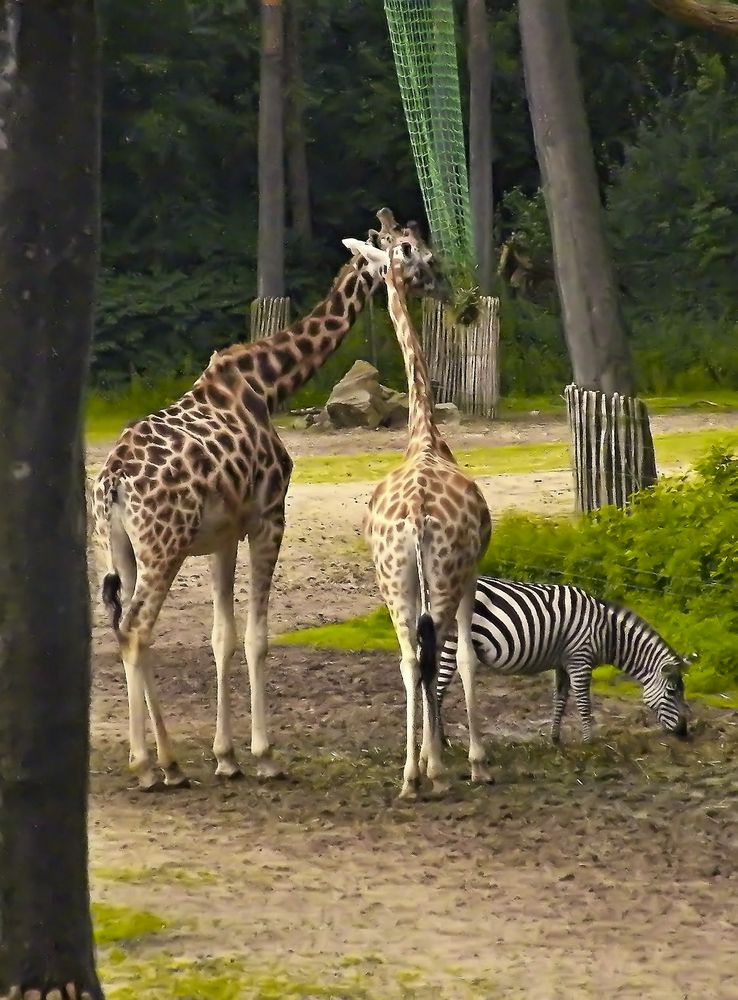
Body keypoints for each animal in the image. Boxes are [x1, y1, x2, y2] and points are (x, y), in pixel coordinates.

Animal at [90, 211, 436, 788]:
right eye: (407, 249)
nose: (435, 276)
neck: (268, 384)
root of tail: (112, 481)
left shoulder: (223, 535)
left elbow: (221, 637)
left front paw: (227, 756)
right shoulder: (270, 516)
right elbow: (257, 636)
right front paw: (265, 756)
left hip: (121, 546)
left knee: (125, 629)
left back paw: (165, 763)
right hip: (163, 547)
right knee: (137, 628)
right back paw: (152, 764)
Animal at [342, 211, 492, 796]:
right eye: (423, 256)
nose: (445, 285)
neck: (424, 435)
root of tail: (416, 517)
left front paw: (432, 759)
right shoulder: (472, 573)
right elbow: (467, 659)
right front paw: (470, 760)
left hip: (393, 578)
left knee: (409, 656)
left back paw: (411, 775)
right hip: (445, 575)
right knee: (434, 653)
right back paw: (442, 771)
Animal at [434, 576, 688, 748]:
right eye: (672, 692)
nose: (684, 732)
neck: (607, 633)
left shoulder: (564, 663)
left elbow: (561, 699)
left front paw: (555, 738)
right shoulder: (580, 661)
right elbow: (584, 704)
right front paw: (589, 742)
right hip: (452, 643)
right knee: (437, 690)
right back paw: (442, 742)